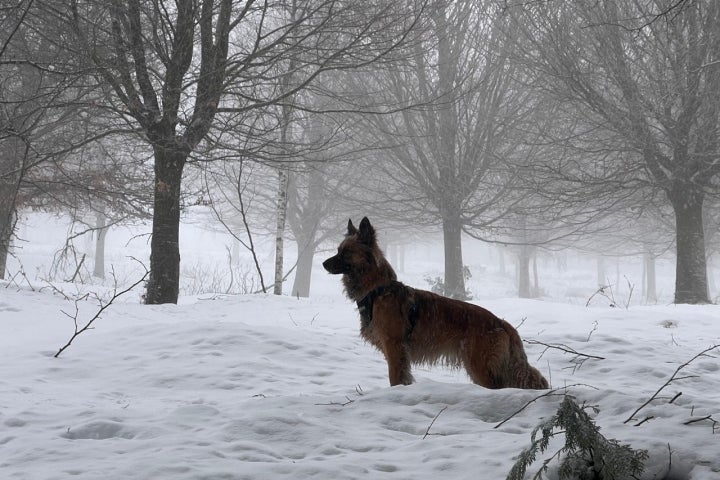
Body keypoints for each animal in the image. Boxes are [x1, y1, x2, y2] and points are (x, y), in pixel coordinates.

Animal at [324, 218, 548, 390]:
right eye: (338, 249)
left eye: (346, 252)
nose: (323, 263)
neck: (377, 291)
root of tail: (502, 323)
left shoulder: (394, 347)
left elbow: (394, 378)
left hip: (480, 366)